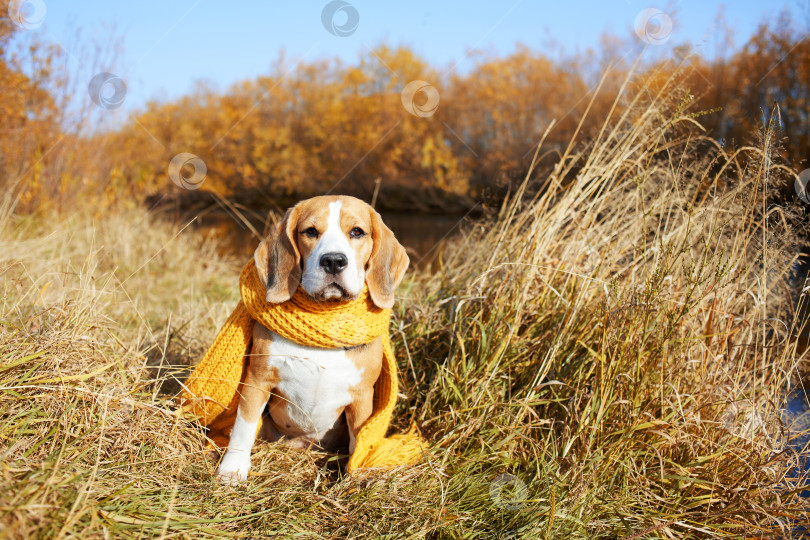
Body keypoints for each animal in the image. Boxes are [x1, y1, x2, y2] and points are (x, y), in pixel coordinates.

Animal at [215, 195, 408, 486]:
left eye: (357, 232)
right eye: (310, 231)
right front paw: (233, 468)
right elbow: (243, 427)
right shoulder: (257, 380)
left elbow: (359, 438)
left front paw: (354, 475)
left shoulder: (362, 396)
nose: (334, 261)